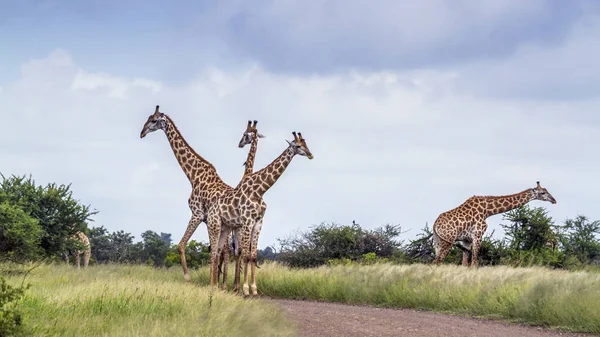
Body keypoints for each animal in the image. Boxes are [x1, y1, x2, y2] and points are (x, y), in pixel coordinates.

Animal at [211, 131, 314, 294]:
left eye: (306, 144)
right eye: (297, 146)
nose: (310, 154)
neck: (259, 191)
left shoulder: (259, 222)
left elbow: (253, 256)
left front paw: (254, 289)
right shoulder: (247, 221)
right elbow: (246, 255)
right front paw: (245, 289)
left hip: (225, 228)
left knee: (218, 251)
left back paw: (216, 286)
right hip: (215, 225)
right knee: (215, 252)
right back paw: (214, 286)